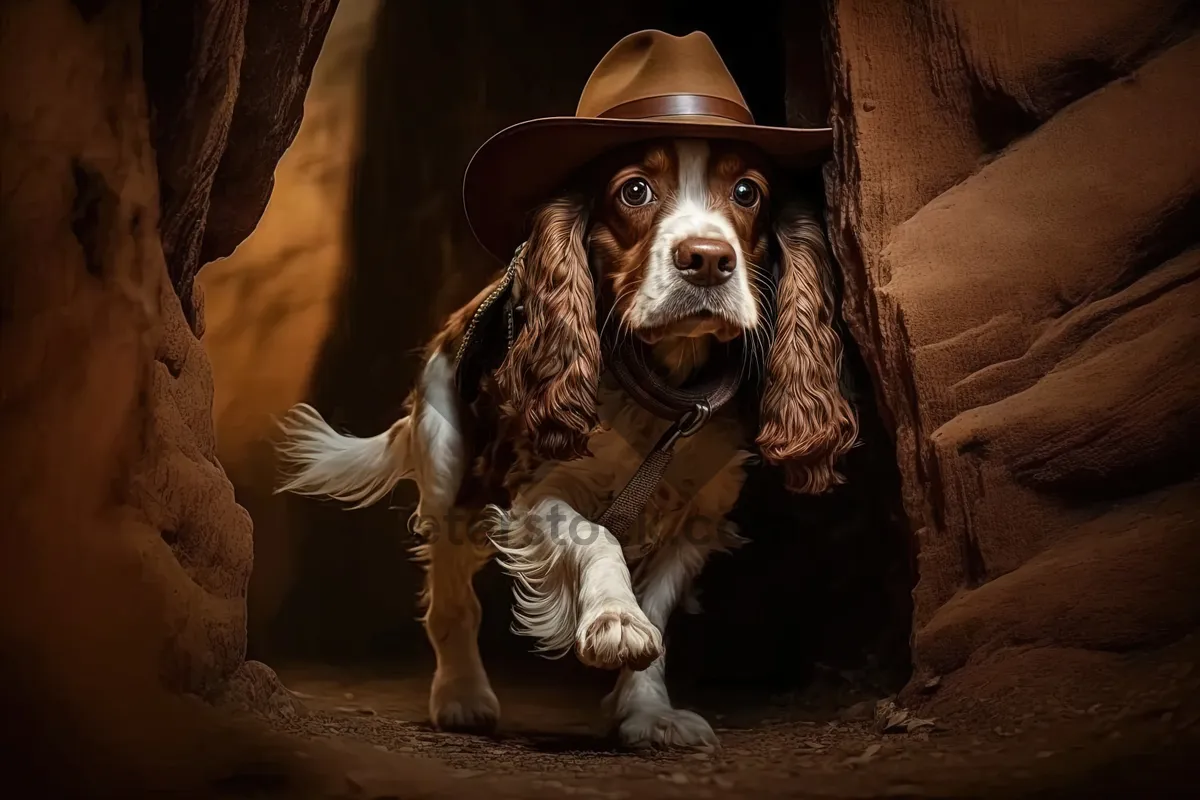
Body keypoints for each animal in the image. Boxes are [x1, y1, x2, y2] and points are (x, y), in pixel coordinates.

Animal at [274, 29, 854, 753]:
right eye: (634, 191)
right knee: (452, 600)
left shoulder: (697, 518)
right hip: (451, 476)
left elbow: (659, 620)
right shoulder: (534, 489)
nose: (707, 260)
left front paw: (648, 712)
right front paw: (613, 624)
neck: (661, 386)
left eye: (748, 191)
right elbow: (594, 538)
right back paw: (461, 696)